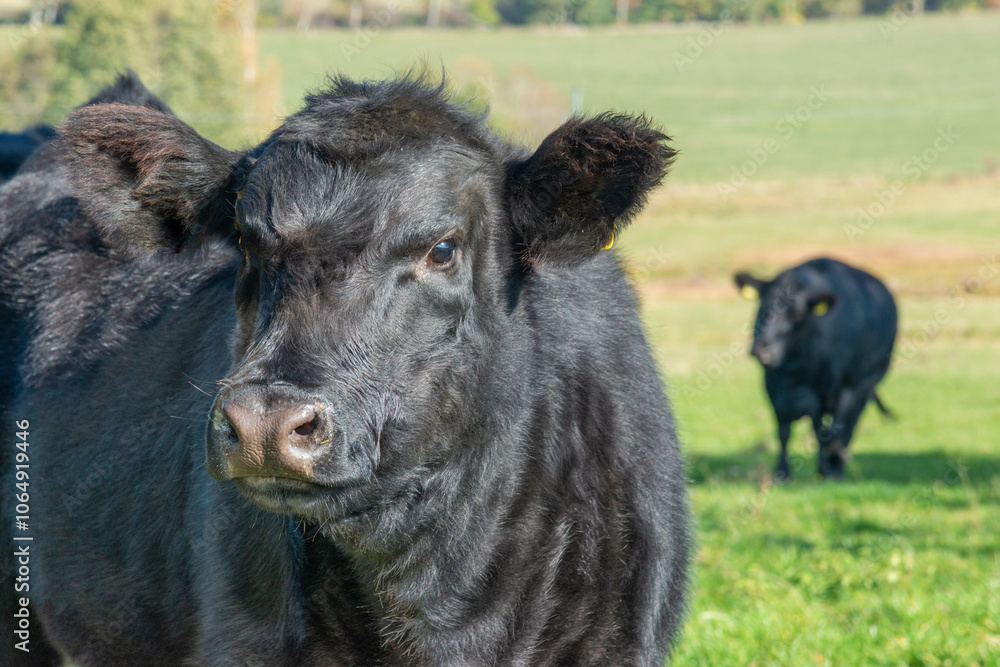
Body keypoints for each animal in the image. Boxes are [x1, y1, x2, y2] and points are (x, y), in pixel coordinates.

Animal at [734, 257, 897, 480]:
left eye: (796, 314)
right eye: (762, 306)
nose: (762, 349)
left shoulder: (843, 387)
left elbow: (830, 432)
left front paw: (828, 470)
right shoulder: (773, 388)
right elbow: (784, 431)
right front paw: (782, 472)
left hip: (867, 384)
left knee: (849, 425)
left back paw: (837, 464)